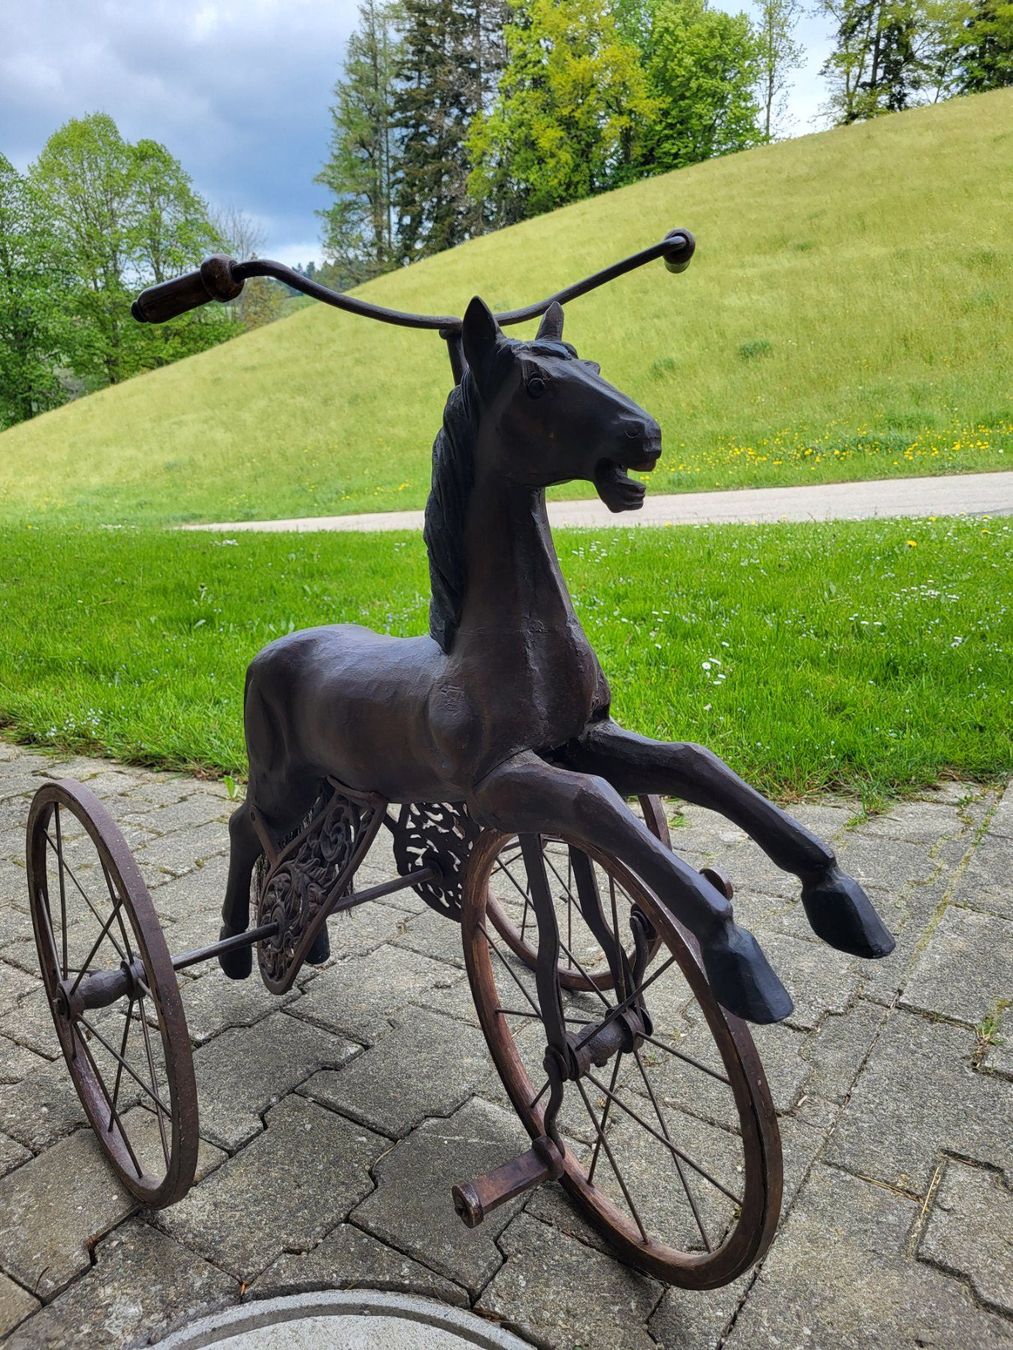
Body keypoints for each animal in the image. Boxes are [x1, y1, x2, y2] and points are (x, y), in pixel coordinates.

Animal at [218, 296, 894, 1023]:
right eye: (536, 387)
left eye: (591, 366)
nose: (646, 436)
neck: (515, 647)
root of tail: (265, 655)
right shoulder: (498, 779)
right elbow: (596, 801)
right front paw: (735, 955)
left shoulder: (581, 739)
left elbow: (695, 763)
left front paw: (840, 900)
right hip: (283, 779)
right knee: (245, 827)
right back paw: (236, 951)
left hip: (331, 783)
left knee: (285, 844)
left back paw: (305, 945)